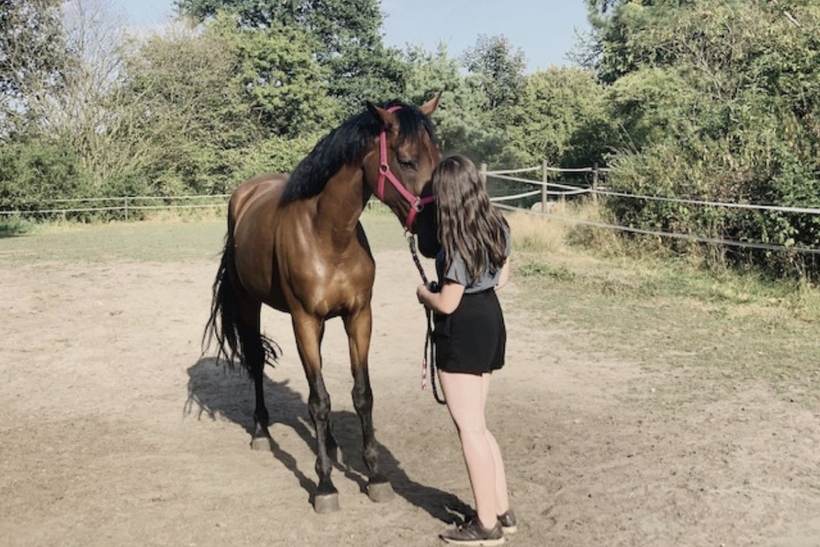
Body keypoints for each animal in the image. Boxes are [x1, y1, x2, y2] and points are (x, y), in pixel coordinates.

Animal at [203, 97, 442, 513]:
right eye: (407, 160)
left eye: (439, 156)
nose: (434, 230)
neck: (329, 234)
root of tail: (245, 194)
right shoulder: (304, 321)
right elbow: (318, 400)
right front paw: (325, 484)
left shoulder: (359, 316)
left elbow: (362, 394)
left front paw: (375, 476)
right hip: (250, 304)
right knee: (255, 360)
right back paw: (262, 431)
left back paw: (326, 442)